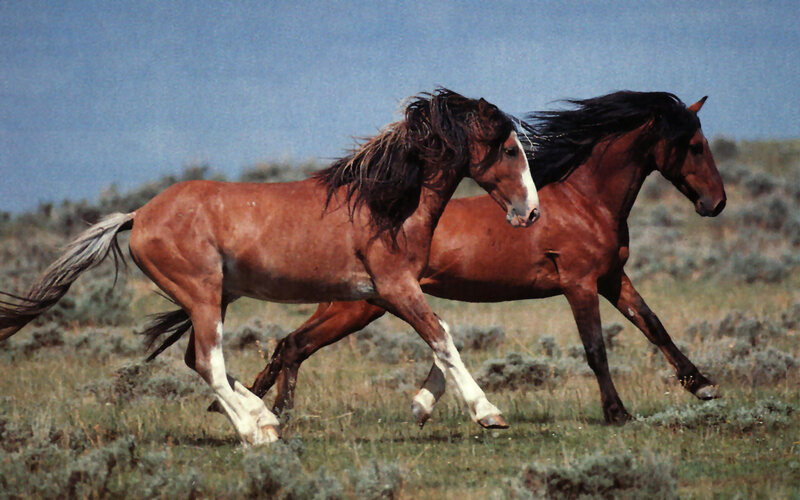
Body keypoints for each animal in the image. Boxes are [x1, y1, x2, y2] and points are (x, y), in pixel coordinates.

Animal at [0, 89, 539, 445]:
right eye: (510, 149)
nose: (530, 213)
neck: (388, 205)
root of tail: (138, 215)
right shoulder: (394, 287)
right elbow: (442, 339)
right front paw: (488, 413)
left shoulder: (382, 295)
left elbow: (441, 336)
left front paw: (424, 406)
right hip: (202, 295)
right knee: (208, 362)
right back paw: (257, 431)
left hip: (216, 298)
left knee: (197, 360)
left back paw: (264, 417)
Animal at [235, 91, 726, 425]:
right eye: (694, 145)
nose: (715, 203)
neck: (587, 200)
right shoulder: (580, 283)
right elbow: (595, 348)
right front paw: (617, 412)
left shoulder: (611, 278)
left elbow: (654, 326)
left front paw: (703, 386)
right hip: (359, 306)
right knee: (295, 345)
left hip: (358, 305)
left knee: (292, 345)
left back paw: (266, 409)